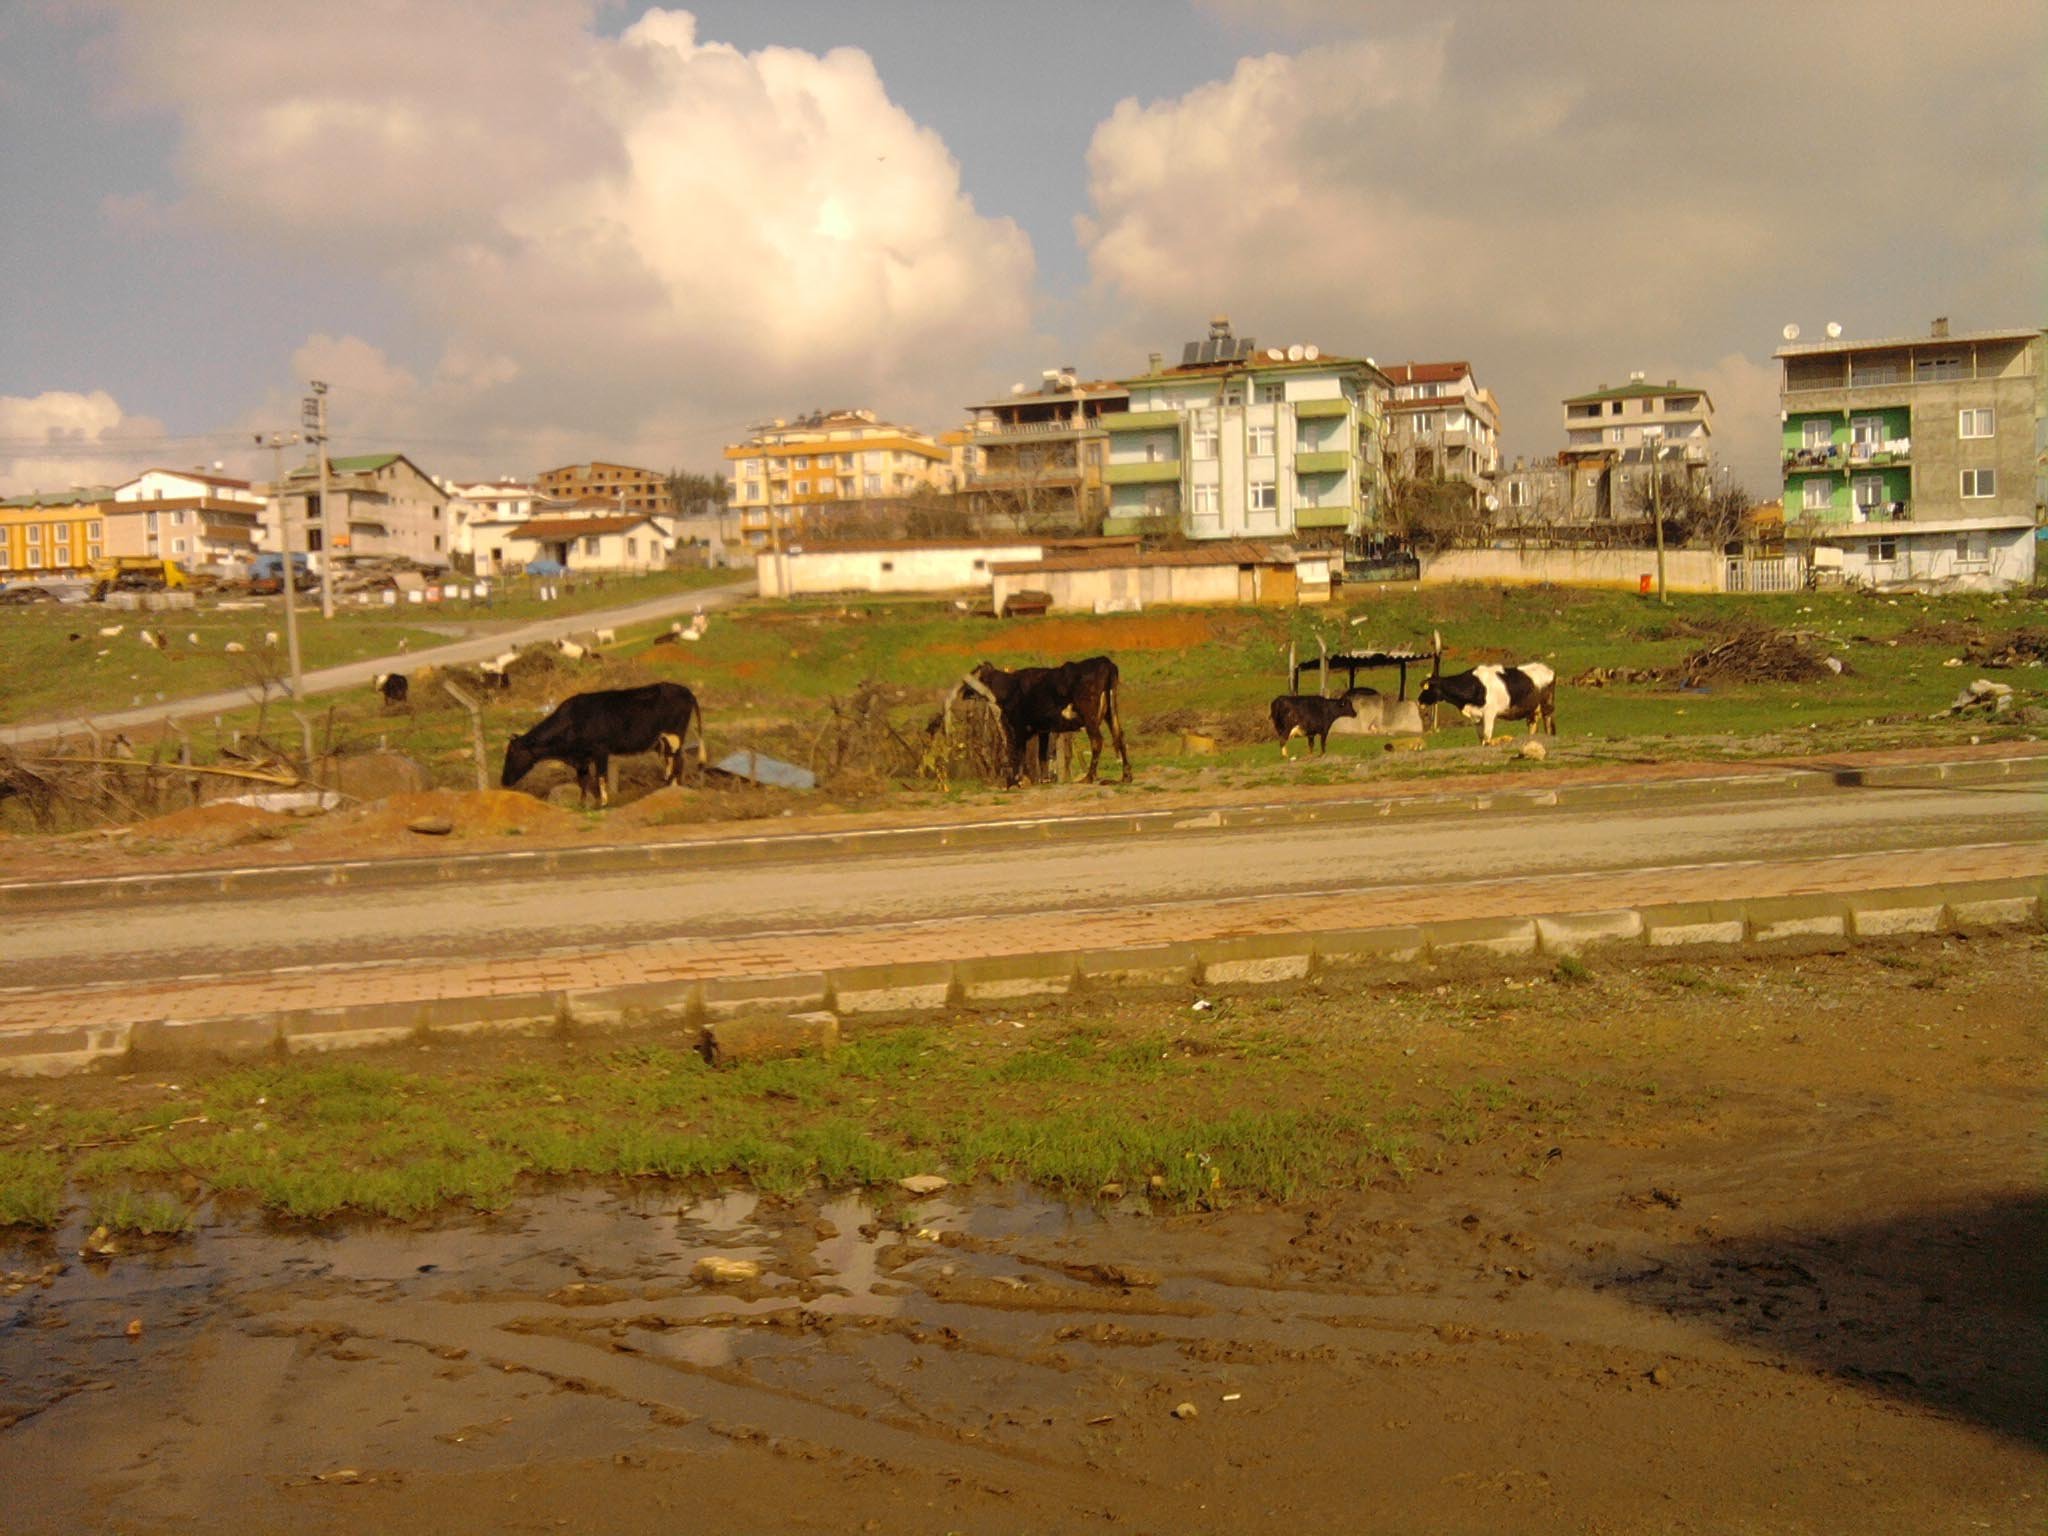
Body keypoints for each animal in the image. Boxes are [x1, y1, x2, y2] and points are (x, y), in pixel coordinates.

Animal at [501, 684, 704, 811]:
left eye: (512, 754)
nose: (504, 781)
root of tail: (686, 690)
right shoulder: (581, 758)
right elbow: (582, 781)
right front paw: (583, 804)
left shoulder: (600, 751)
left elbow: (601, 778)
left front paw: (603, 804)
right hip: (664, 740)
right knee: (672, 760)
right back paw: (668, 788)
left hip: (674, 735)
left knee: (678, 761)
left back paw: (673, 788)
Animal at [954, 655, 1130, 786]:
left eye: (974, 675)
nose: (962, 692)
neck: (1010, 686)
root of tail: (1105, 662)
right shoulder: (1043, 729)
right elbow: (1042, 755)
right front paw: (1044, 780)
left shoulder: (1019, 726)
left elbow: (1019, 752)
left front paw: (1018, 780)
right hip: (1111, 713)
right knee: (1120, 736)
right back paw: (1126, 776)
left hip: (1090, 716)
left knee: (1097, 741)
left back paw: (1089, 777)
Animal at [1417, 663, 1556, 745]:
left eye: (1427, 688)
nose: (1419, 701)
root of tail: (1548, 669)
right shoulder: (1476, 717)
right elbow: (1481, 739)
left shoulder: (1489, 714)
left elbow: (1487, 737)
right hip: (1532, 710)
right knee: (1533, 726)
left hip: (1547, 706)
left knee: (1549, 725)